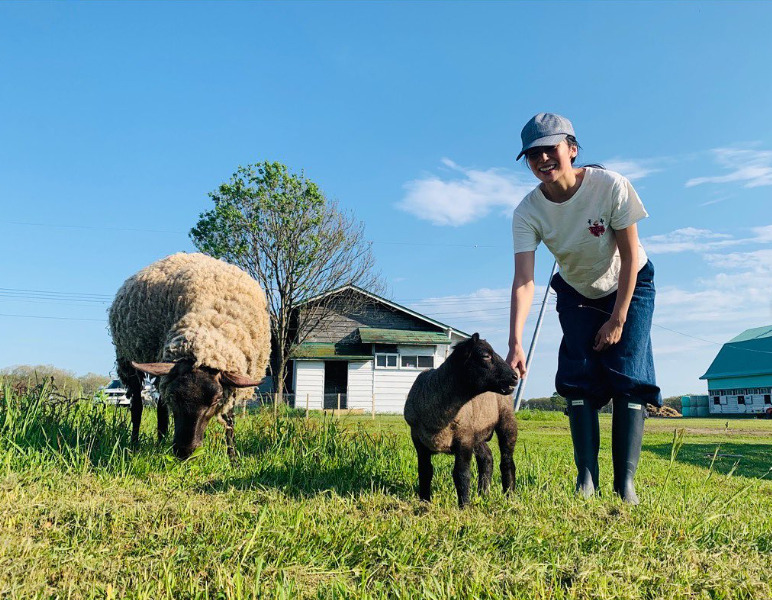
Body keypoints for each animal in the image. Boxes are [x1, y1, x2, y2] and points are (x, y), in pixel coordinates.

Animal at [108, 253, 272, 460]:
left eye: (216, 400)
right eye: (175, 396)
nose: (184, 451)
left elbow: (229, 420)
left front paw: (233, 457)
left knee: (160, 407)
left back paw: (160, 441)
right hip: (127, 360)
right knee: (137, 406)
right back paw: (135, 443)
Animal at [404, 336, 520, 508]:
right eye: (485, 356)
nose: (515, 376)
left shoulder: (464, 438)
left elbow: (461, 474)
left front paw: (464, 506)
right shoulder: (418, 440)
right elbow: (425, 471)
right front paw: (424, 502)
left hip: (506, 419)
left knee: (507, 460)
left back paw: (509, 496)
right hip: (477, 431)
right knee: (487, 459)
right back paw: (483, 493)